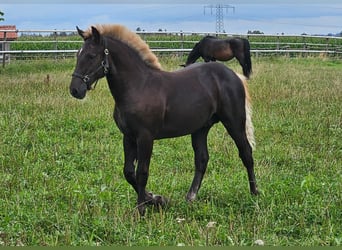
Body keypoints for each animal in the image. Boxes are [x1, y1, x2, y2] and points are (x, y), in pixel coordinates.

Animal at [70, 24, 260, 216]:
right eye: (78, 54)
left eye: (91, 55)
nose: (75, 90)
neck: (139, 86)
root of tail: (234, 75)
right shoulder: (128, 136)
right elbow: (128, 172)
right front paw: (156, 199)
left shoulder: (145, 137)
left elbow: (142, 172)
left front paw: (142, 209)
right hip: (200, 128)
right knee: (202, 159)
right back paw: (190, 197)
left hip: (234, 123)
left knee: (246, 153)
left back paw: (254, 194)